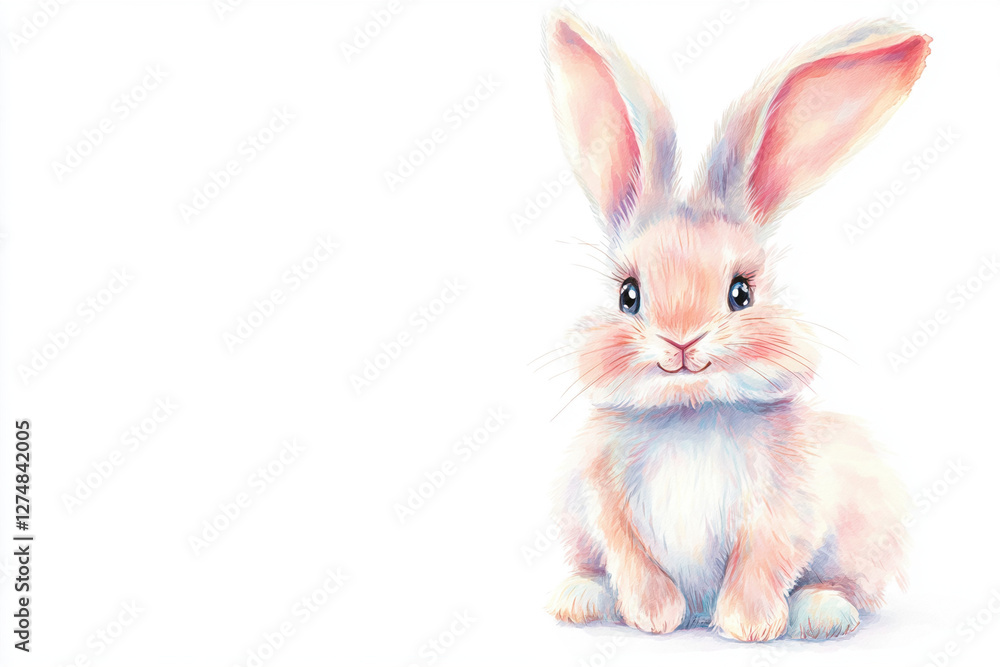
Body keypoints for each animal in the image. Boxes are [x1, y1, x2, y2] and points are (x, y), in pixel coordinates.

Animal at [541, 11, 930, 642]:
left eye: (741, 292)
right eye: (629, 296)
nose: (681, 340)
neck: (689, 413)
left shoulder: (789, 505)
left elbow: (763, 558)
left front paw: (748, 627)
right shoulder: (603, 502)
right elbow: (629, 555)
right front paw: (657, 617)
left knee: (844, 584)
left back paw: (821, 614)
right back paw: (578, 600)